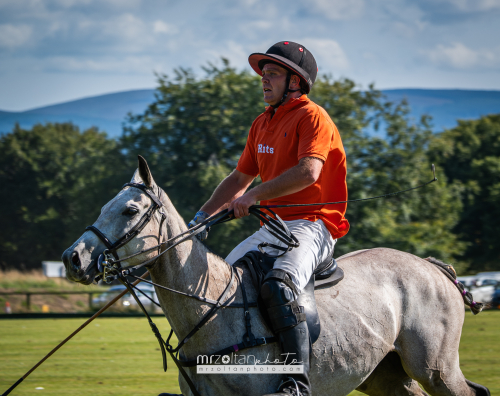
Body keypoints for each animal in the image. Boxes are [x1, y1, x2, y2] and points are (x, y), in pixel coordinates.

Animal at [61, 158, 488, 396]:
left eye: (130, 211)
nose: (72, 258)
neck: (212, 313)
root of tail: (433, 266)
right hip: (384, 374)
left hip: (435, 367)